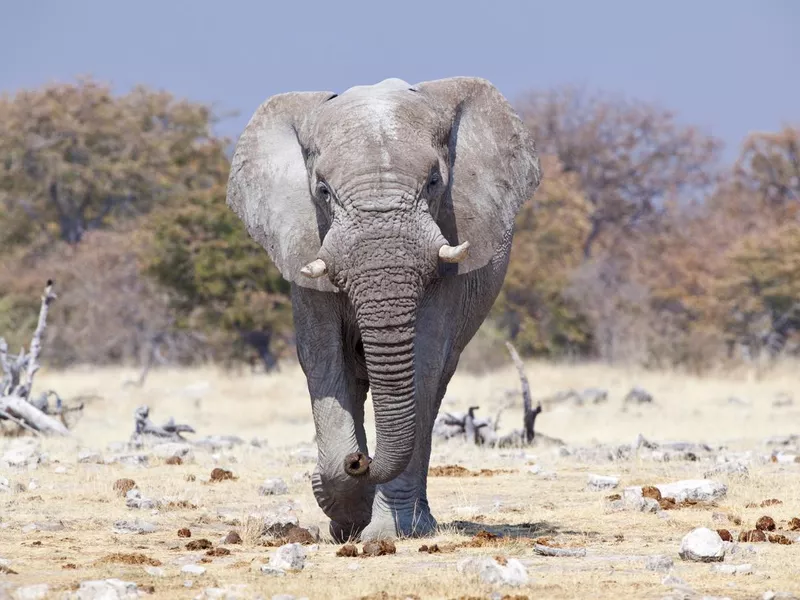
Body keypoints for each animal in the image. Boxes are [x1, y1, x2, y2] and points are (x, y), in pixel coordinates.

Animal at [228, 77, 548, 540]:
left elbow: (422, 365)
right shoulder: (305, 243)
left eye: (434, 182)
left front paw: (384, 532)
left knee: (434, 390)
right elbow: (323, 358)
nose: (360, 462)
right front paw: (347, 512)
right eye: (322, 191)